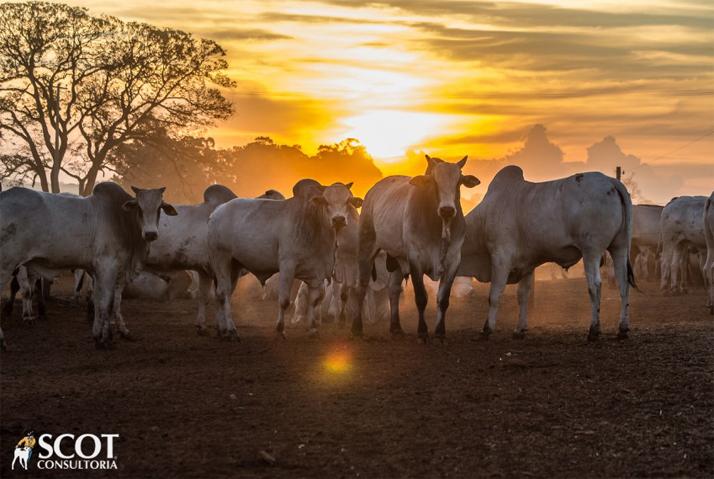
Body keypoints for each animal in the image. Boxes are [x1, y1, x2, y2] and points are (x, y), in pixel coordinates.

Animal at [350, 156, 478, 340]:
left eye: (459, 181)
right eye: (434, 181)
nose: (447, 210)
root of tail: (373, 191)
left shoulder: (453, 261)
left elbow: (443, 299)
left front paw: (440, 332)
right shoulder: (415, 259)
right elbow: (421, 297)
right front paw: (422, 331)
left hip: (397, 258)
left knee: (393, 290)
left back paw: (396, 327)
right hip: (366, 248)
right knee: (361, 287)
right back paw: (356, 328)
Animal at [458, 167, 632, 340]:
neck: (483, 220)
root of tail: (611, 181)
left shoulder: (501, 258)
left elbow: (494, 295)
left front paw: (488, 328)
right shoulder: (526, 265)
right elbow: (523, 295)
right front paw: (519, 329)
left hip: (591, 250)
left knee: (595, 285)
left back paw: (594, 329)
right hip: (620, 247)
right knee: (623, 283)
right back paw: (622, 328)